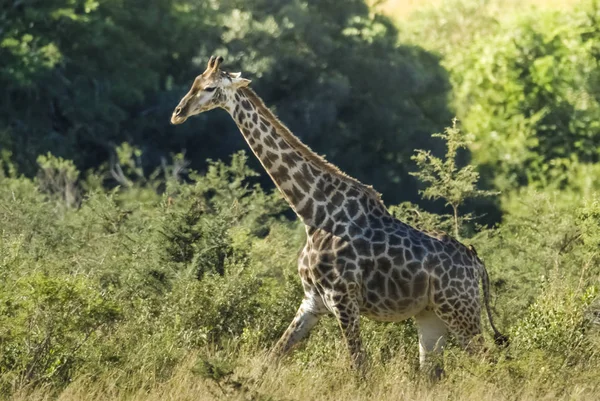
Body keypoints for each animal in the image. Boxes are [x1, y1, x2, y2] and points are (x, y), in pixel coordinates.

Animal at [170, 54, 506, 374]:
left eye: (210, 88)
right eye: (194, 81)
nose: (178, 112)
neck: (313, 213)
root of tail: (477, 262)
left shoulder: (343, 299)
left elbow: (359, 369)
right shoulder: (312, 301)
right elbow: (270, 359)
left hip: (459, 310)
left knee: (493, 363)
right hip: (431, 315)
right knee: (433, 373)